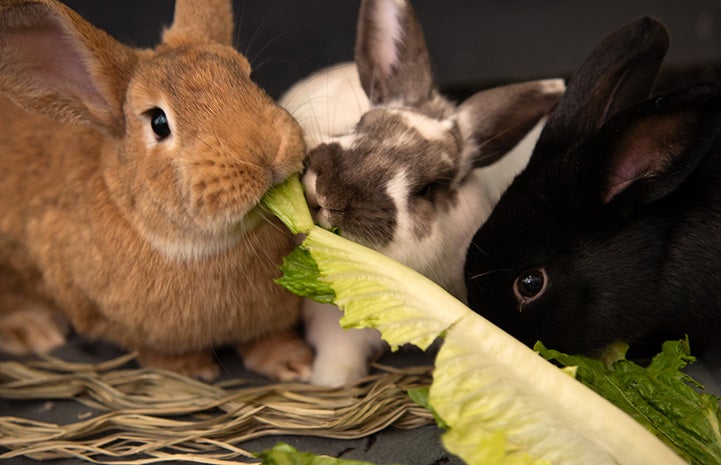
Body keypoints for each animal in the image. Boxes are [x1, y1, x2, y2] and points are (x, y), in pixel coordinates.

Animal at [0, 0, 314, 381]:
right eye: (159, 123)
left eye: (248, 76)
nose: (265, 150)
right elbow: (150, 349)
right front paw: (190, 369)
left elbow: (268, 337)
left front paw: (293, 363)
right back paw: (32, 331)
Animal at [280, 0, 564, 386]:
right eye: (359, 125)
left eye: (427, 189)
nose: (329, 194)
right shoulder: (332, 318)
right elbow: (340, 349)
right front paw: (332, 380)